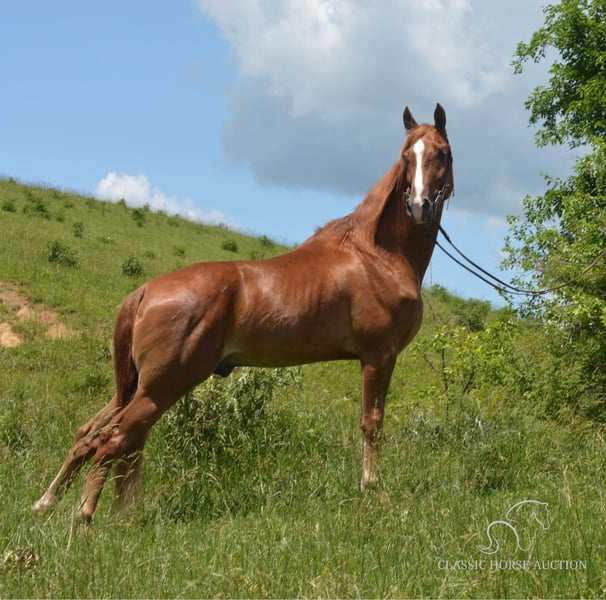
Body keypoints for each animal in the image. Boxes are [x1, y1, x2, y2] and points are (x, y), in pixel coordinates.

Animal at [33, 103, 454, 522]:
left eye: (441, 153)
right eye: (406, 157)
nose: (419, 207)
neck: (375, 255)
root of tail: (146, 290)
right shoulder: (379, 356)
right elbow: (373, 423)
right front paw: (373, 490)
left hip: (139, 387)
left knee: (95, 434)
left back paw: (64, 504)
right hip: (162, 386)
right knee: (113, 439)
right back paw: (84, 517)